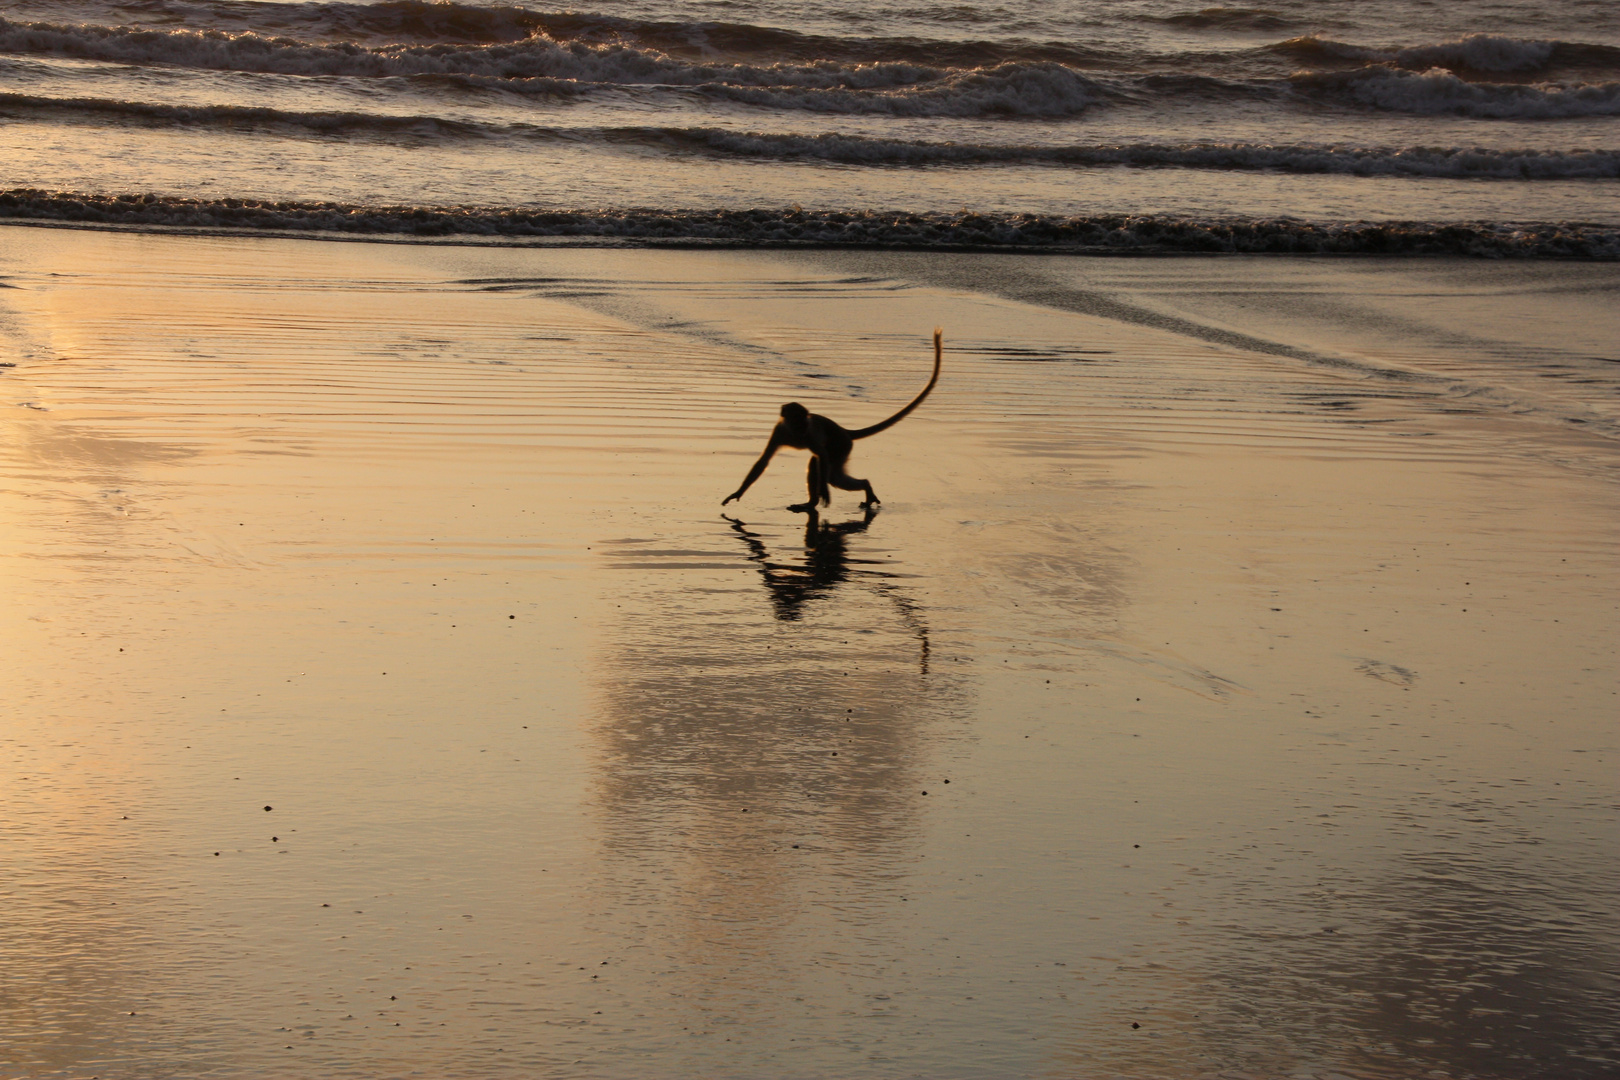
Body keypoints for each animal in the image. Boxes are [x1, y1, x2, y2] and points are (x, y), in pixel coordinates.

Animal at [725, 330, 946, 514]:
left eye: (803, 422)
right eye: (797, 421)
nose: (802, 427)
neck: (795, 433)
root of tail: (845, 430)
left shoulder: (809, 434)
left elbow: (821, 456)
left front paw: (824, 492)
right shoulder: (779, 431)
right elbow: (763, 461)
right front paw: (738, 493)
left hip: (841, 445)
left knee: (825, 468)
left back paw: (858, 488)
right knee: (822, 468)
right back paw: (816, 502)